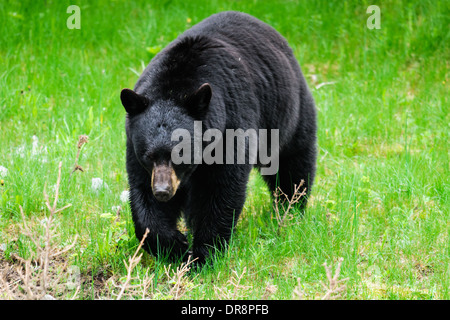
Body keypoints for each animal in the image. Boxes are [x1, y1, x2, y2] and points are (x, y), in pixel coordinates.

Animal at [119, 11, 316, 266]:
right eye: (149, 156)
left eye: (180, 154)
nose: (163, 190)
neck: (174, 87)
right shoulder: (135, 145)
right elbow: (143, 192)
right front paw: (174, 246)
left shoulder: (230, 125)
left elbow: (220, 189)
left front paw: (203, 254)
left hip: (288, 114)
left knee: (293, 163)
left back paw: (290, 209)